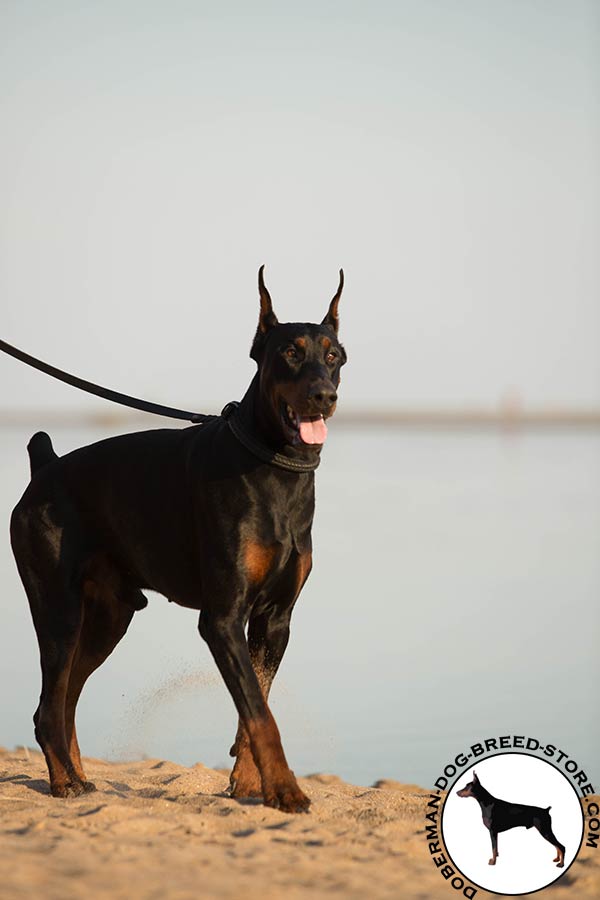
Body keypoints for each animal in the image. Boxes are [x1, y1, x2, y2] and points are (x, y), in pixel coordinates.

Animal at [9, 264, 346, 812]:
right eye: (290, 352)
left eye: (334, 355)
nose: (323, 396)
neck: (277, 465)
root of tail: (45, 468)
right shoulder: (222, 618)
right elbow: (260, 713)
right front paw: (286, 790)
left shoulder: (276, 619)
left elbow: (257, 700)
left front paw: (248, 783)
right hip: (58, 610)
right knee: (48, 706)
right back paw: (63, 784)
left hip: (110, 616)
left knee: (67, 700)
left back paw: (79, 777)